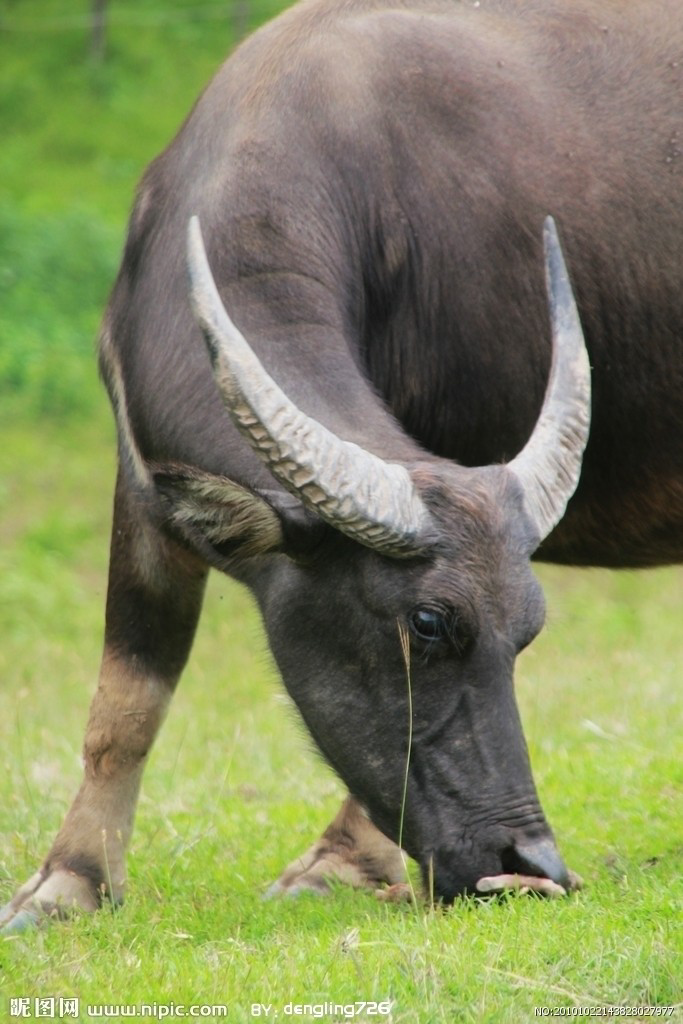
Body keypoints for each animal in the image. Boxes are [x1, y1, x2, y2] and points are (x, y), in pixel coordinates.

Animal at [1, 0, 683, 929]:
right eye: (429, 623)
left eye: (525, 632)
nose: (530, 865)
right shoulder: (140, 483)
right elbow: (127, 694)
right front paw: (69, 883)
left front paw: (340, 863)